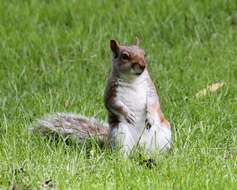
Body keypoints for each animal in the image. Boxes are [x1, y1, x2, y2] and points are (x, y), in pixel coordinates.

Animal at [32, 39, 172, 156]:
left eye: (144, 53)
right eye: (124, 56)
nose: (143, 66)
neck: (133, 80)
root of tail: (139, 149)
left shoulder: (150, 88)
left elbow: (153, 102)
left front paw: (150, 117)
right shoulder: (111, 92)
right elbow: (113, 104)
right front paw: (127, 114)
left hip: (163, 132)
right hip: (120, 134)